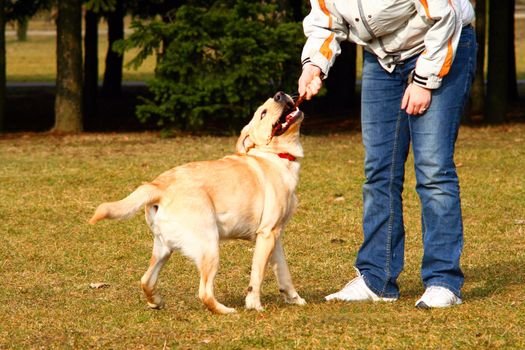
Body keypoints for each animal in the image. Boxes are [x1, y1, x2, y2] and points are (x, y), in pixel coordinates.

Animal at [88, 91, 304, 314]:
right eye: (263, 113)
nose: (279, 94)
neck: (274, 156)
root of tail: (158, 185)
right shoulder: (266, 234)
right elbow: (257, 276)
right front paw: (254, 305)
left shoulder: (275, 236)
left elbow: (284, 274)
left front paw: (295, 299)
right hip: (210, 246)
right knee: (205, 293)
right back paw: (226, 311)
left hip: (163, 248)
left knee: (146, 280)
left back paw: (156, 301)